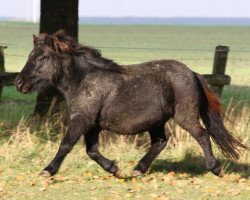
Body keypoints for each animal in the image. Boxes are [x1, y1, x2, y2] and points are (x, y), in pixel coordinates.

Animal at [14, 30, 247, 178]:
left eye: (41, 58)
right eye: (31, 55)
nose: (18, 83)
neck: (82, 81)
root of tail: (192, 73)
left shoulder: (81, 120)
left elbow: (66, 144)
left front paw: (47, 170)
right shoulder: (92, 125)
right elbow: (92, 151)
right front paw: (115, 169)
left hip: (185, 115)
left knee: (202, 135)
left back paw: (216, 168)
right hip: (157, 121)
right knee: (160, 142)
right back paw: (138, 169)